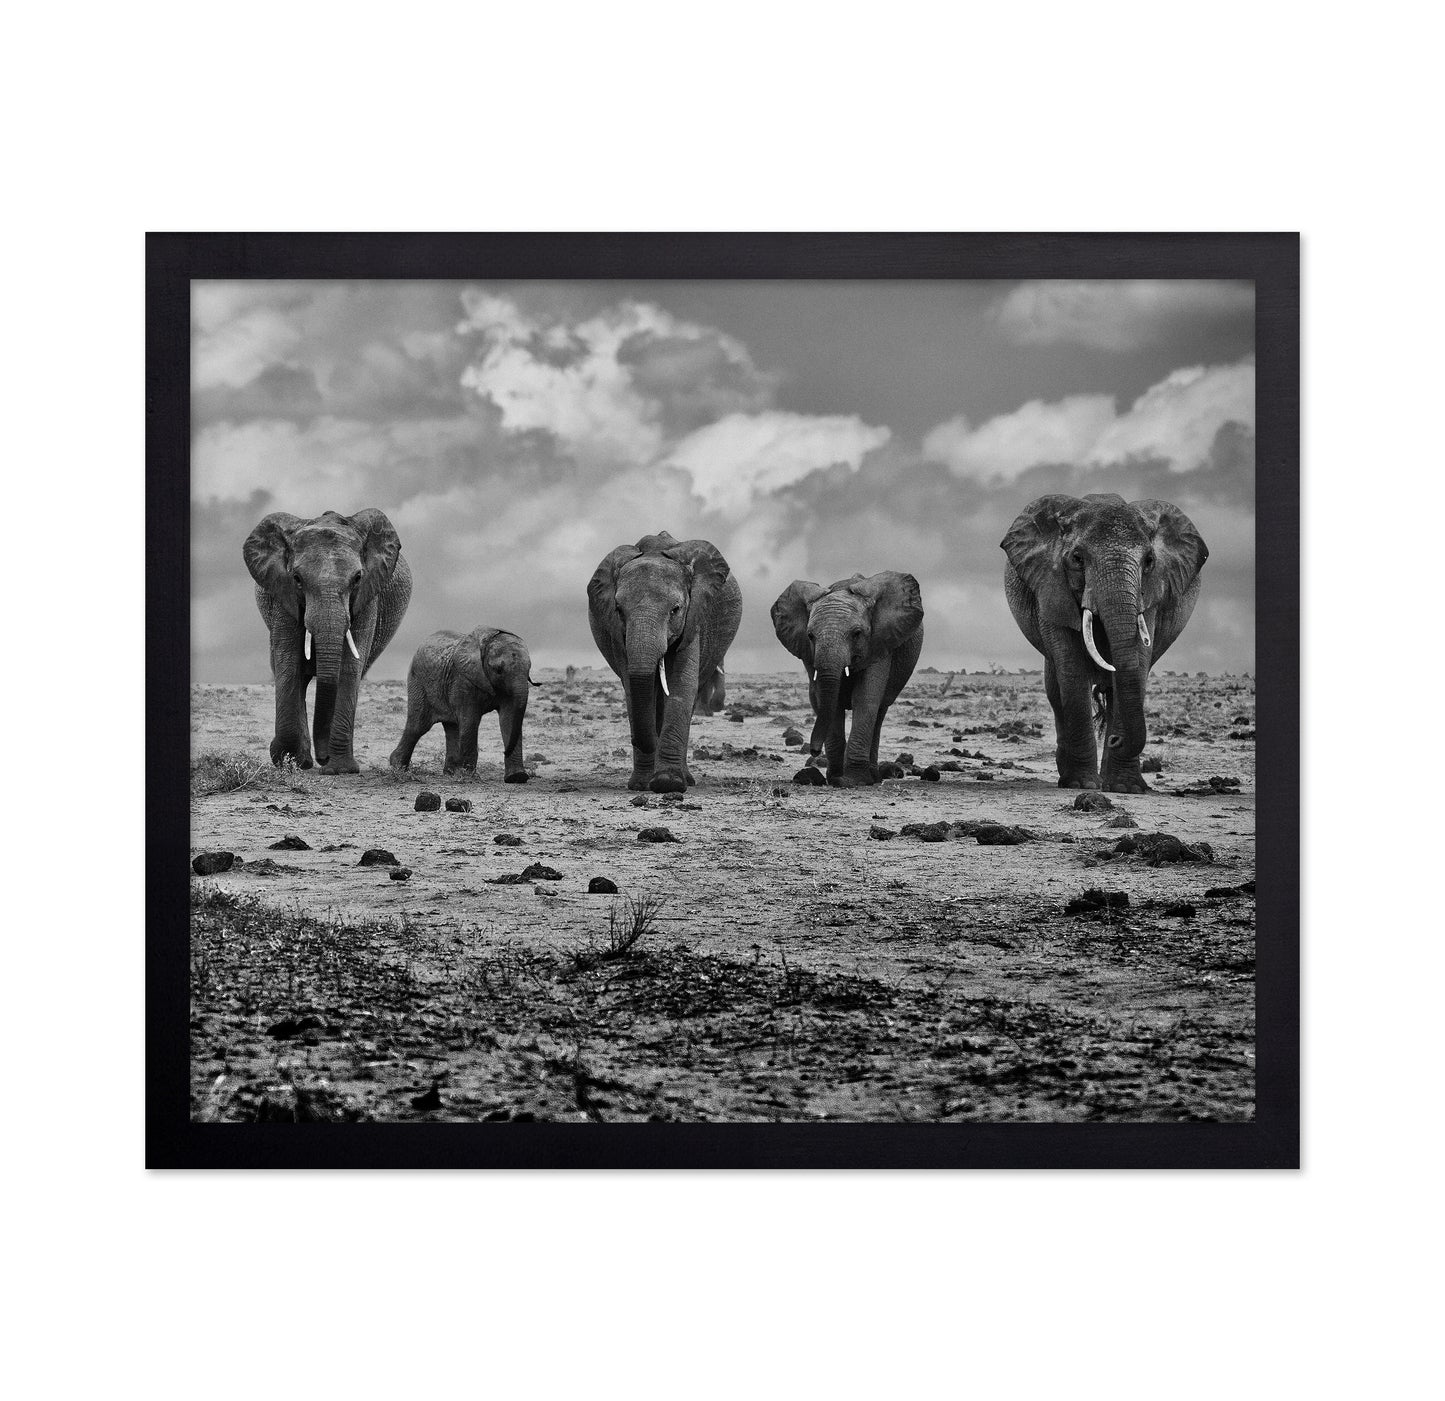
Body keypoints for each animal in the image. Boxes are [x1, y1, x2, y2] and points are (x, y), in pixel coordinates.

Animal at [243, 509, 413, 774]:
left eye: (357, 578)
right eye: (297, 578)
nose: (323, 758)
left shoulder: (367, 597)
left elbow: (350, 667)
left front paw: (340, 769)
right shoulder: (282, 593)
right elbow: (288, 661)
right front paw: (290, 761)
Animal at [389, 627, 536, 781]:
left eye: (529, 669)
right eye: (498, 670)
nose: (504, 751)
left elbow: (509, 718)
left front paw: (517, 778)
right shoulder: (463, 680)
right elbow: (470, 721)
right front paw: (470, 776)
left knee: (451, 727)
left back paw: (450, 773)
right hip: (418, 682)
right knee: (418, 726)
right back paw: (398, 767)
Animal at [586, 531, 742, 792]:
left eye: (675, 609)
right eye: (618, 610)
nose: (640, 740)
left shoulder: (693, 618)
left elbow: (681, 685)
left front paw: (667, 783)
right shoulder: (616, 632)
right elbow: (633, 689)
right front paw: (642, 785)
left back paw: (686, 779)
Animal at [771, 571, 924, 787]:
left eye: (857, 634)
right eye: (810, 636)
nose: (814, 751)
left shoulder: (880, 643)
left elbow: (865, 698)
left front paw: (854, 780)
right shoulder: (809, 653)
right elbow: (829, 701)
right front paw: (835, 778)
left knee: (879, 713)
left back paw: (873, 777)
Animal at [1001, 492, 1208, 793]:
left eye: (1149, 561)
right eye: (1077, 558)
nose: (1115, 740)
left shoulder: (1151, 596)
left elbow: (1138, 662)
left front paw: (1126, 789)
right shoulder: (1051, 587)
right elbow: (1071, 670)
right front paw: (1082, 784)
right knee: (1056, 691)